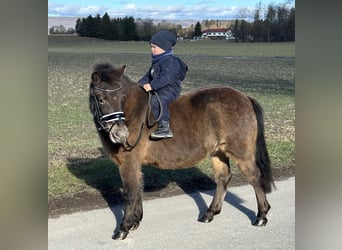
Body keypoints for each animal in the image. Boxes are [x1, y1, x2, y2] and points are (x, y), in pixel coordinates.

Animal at [89, 61, 276, 239]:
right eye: (100, 98)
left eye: (121, 97)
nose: (121, 134)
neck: (134, 114)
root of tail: (245, 97)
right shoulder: (134, 164)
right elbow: (138, 188)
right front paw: (135, 222)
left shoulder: (128, 162)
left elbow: (130, 193)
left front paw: (123, 228)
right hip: (218, 152)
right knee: (223, 178)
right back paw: (209, 213)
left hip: (241, 154)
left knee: (254, 176)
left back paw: (261, 216)